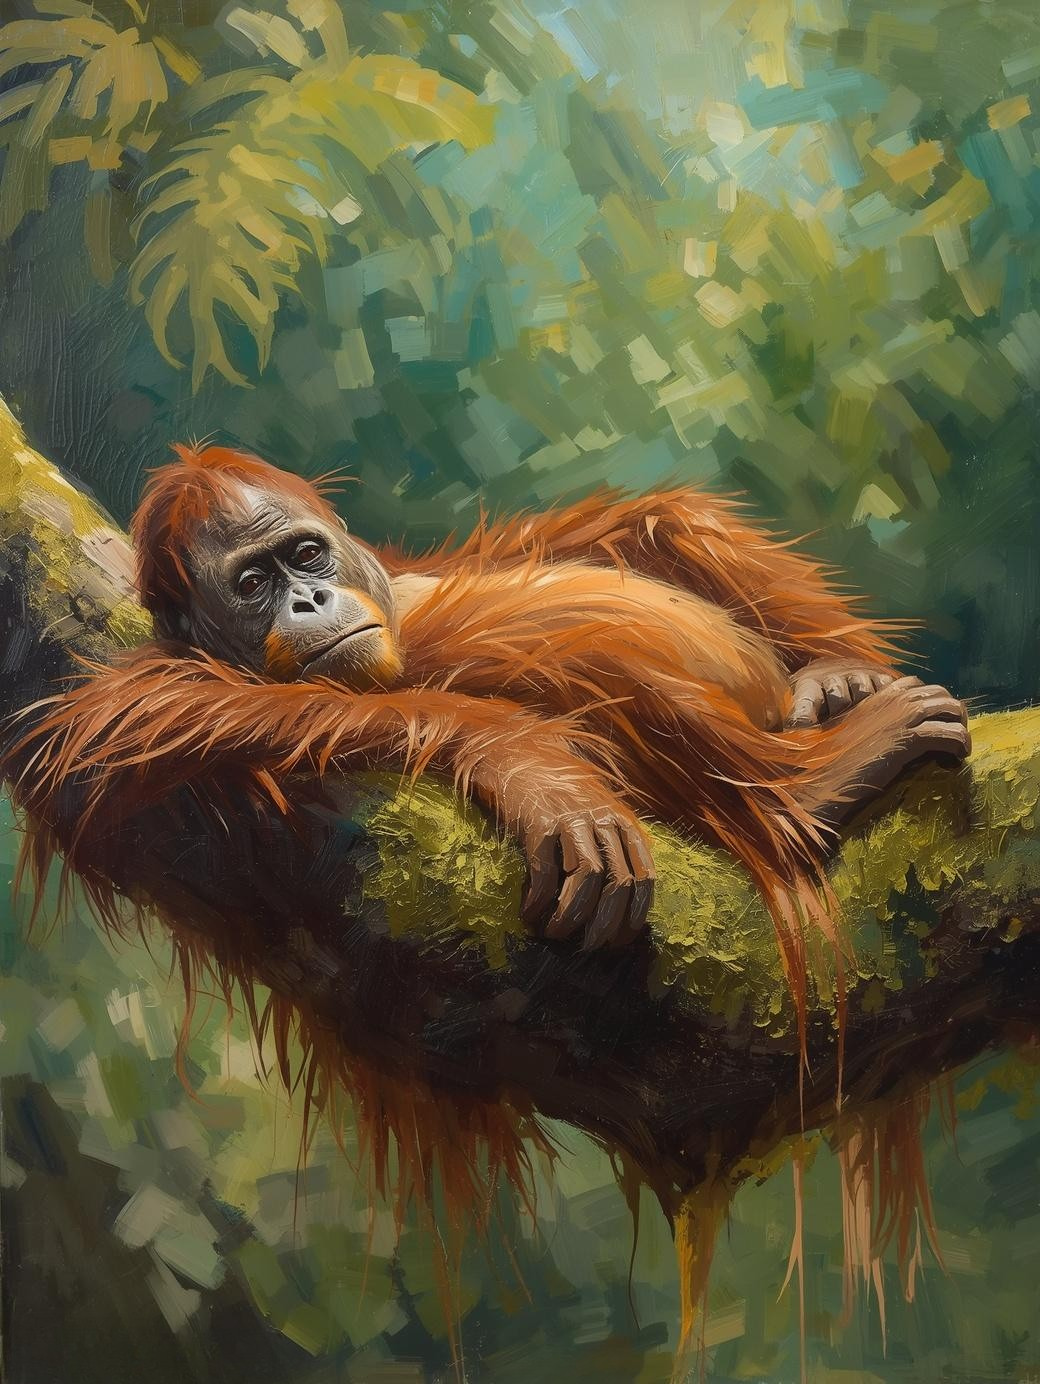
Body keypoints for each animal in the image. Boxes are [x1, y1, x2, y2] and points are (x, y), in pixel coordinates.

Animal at [5, 445, 969, 999]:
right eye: (252, 585)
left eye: (304, 555)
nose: (308, 602)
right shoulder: (159, 685)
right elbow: (118, 739)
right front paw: (537, 773)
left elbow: (625, 529)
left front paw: (838, 672)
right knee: (571, 650)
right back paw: (814, 787)